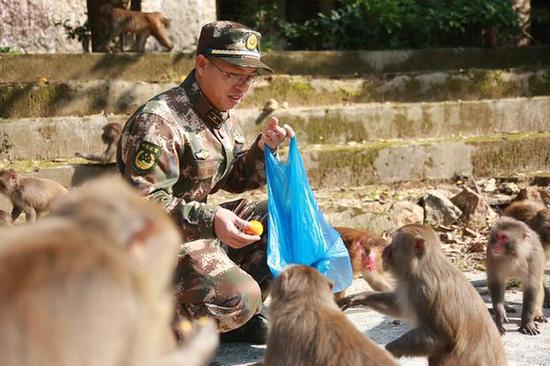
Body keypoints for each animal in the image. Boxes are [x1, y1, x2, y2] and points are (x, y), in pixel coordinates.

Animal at [338, 224, 512, 364]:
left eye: (393, 242)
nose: (384, 251)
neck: (421, 267)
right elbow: (399, 307)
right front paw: (361, 297)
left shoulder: (423, 291)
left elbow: (442, 338)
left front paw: (391, 349)